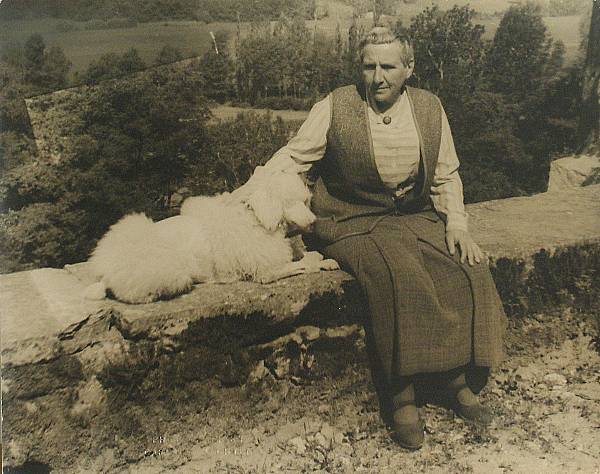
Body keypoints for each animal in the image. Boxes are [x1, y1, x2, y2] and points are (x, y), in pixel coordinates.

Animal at [85, 168, 338, 304]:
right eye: (290, 203)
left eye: (305, 200)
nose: (313, 222)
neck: (255, 219)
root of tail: (106, 269)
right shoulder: (266, 271)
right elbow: (302, 264)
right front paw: (319, 261)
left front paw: (325, 260)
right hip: (169, 267)